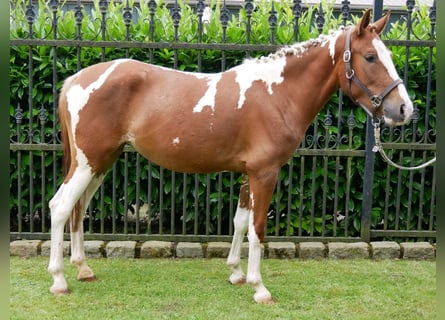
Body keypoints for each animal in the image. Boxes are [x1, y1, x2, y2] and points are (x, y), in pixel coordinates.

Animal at [46, 10, 412, 304]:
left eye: (388, 54)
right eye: (370, 57)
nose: (405, 110)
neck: (276, 94)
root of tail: (74, 80)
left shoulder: (249, 173)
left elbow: (239, 221)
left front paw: (236, 273)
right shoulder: (265, 173)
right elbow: (258, 228)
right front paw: (259, 288)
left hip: (100, 163)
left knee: (79, 207)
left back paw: (83, 269)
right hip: (88, 162)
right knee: (61, 206)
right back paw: (60, 280)